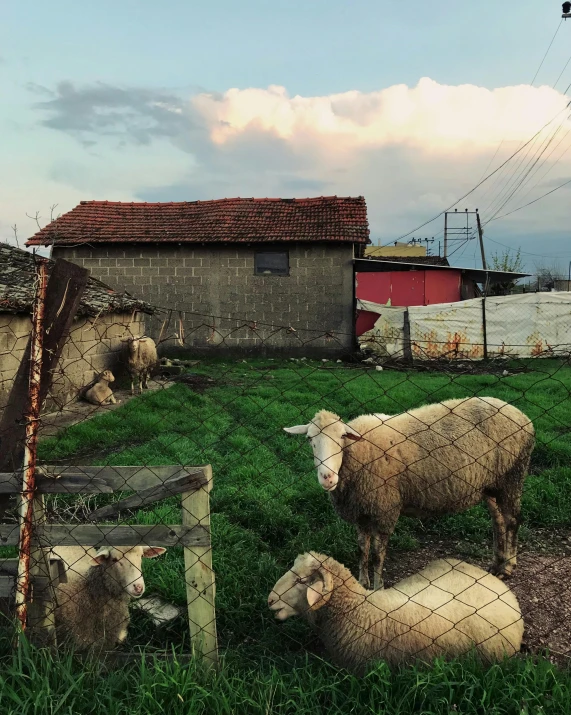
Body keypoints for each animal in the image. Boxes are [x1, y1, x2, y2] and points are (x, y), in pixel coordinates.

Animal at [286, 398, 536, 588]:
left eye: (341, 437)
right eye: (309, 439)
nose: (327, 477)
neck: (359, 452)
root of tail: (523, 416)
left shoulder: (385, 509)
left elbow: (377, 555)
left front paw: (377, 588)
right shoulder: (362, 512)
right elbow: (361, 550)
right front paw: (363, 582)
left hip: (513, 475)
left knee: (513, 521)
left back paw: (509, 566)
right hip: (491, 484)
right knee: (498, 521)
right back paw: (497, 563)